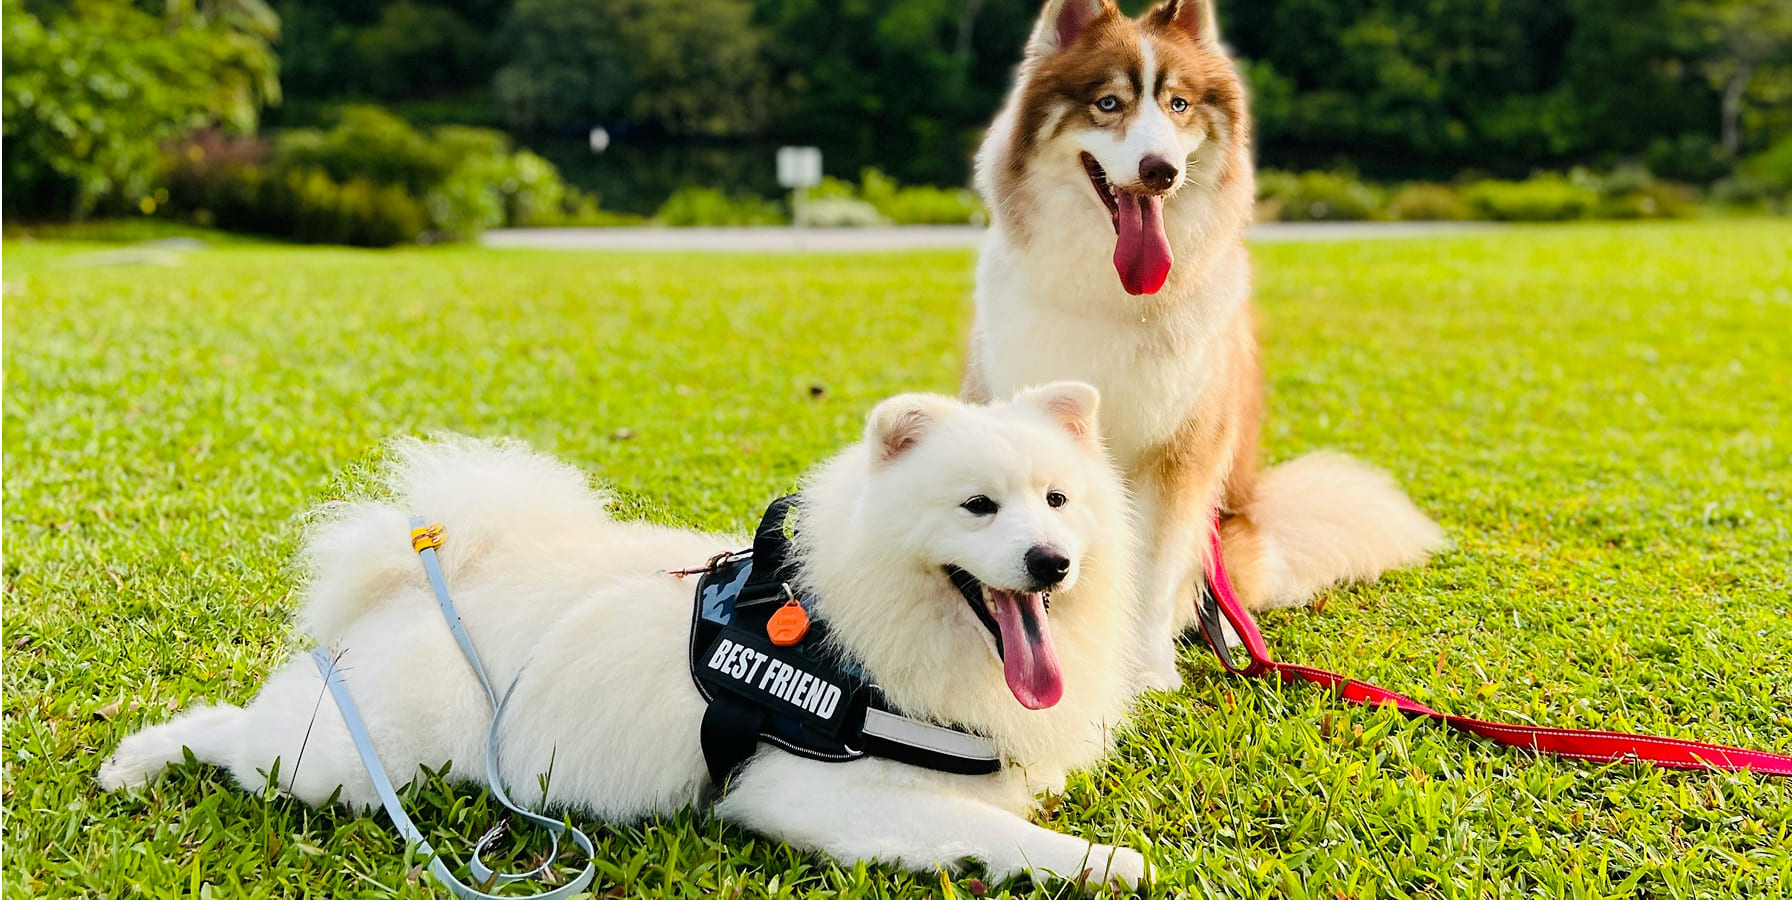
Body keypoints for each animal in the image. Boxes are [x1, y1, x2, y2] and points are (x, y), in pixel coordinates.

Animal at [101, 385, 1146, 885]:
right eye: (978, 508)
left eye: (1058, 501)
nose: (1050, 561)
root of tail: (416, 587)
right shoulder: (812, 795)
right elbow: (997, 836)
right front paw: (1109, 864)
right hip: (341, 766)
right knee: (236, 736)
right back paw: (138, 760)